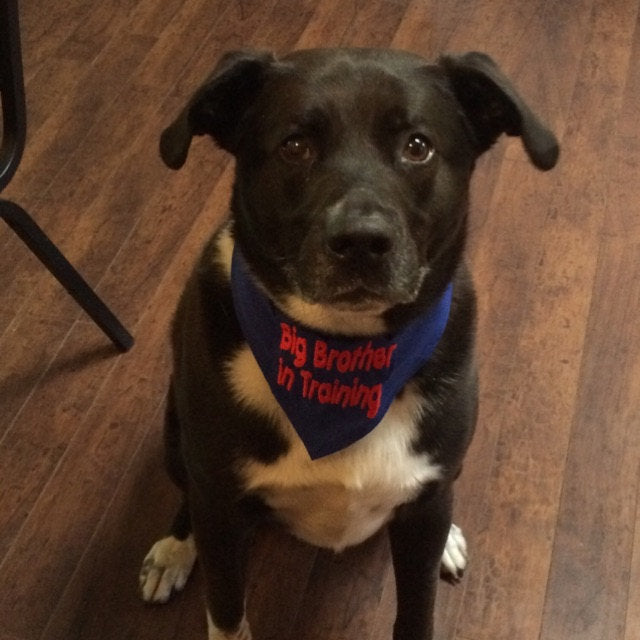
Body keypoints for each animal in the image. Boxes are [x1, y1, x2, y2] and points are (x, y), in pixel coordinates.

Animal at [138, 46, 556, 640]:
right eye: (295, 146)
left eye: (417, 146)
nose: (361, 242)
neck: (343, 353)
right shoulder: (218, 499)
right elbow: (226, 613)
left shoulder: (426, 503)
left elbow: (417, 607)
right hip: (177, 435)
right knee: (186, 496)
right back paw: (175, 548)